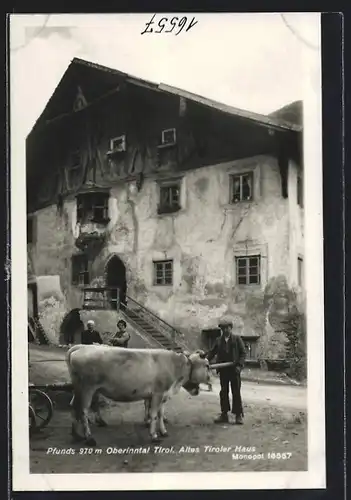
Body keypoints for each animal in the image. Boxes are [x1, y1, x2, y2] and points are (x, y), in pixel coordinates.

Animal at [66, 344, 212, 446]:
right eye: (207, 365)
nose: (210, 379)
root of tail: (81, 347)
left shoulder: (163, 395)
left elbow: (160, 414)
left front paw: (163, 431)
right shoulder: (158, 394)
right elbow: (154, 415)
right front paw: (154, 435)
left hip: (78, 388)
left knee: (73, 406)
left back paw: (76, 434)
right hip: (87, 388)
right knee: (83, 410)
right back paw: (89, 438)